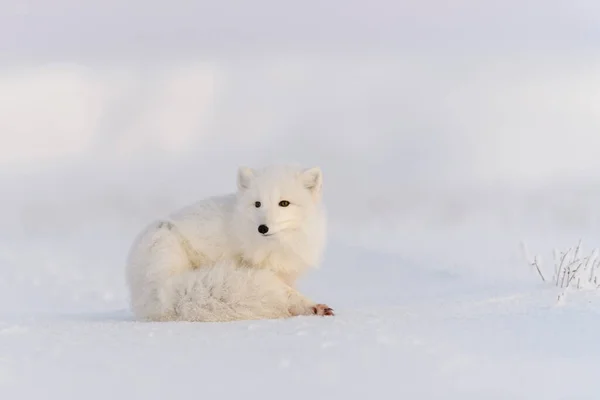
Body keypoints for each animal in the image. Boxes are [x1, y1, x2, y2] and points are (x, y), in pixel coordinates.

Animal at [126, 163, 332, 322]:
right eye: (257, 204)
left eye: (284, 203)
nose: (262, 228)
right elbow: (286, 292)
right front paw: (307, 305)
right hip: (165, 239)